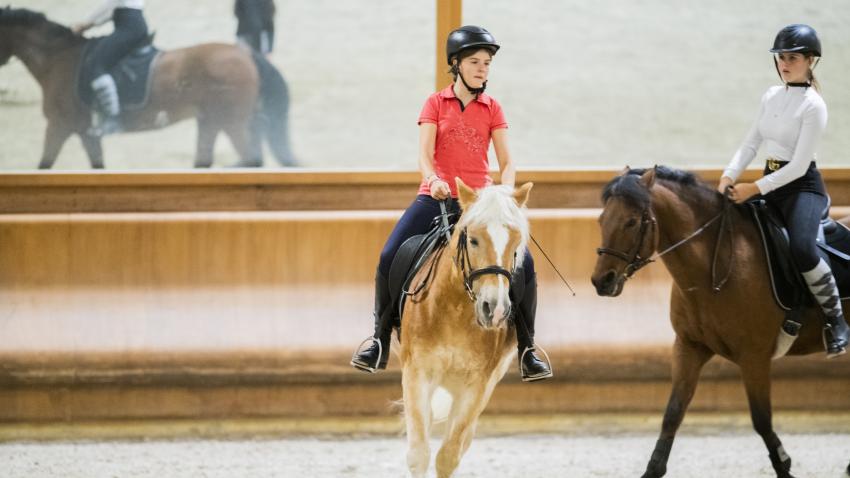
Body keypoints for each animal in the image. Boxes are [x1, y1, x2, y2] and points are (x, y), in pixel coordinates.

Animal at [0, 6, 296, 169]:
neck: (57, 59)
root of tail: (246, 54)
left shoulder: (59, 126)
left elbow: (44, 165)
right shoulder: (86, 134)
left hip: (230, 121)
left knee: (251, 159)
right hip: (211, 120)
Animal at [400, 178, 528, 478]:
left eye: (516, 244)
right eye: (473, 240)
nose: (495, 309)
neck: (455, 310)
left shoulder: (477, 384)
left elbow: (448, 455)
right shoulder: (417, 373)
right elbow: (419, 453)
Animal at [588, 165, 848, 478]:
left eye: (631, 221)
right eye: (602, 219)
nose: (602, 281)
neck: (716, 267)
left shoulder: (754, 357)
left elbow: (762, 420)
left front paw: (784, 465)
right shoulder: (689, 347)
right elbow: (672, 413)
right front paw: (652, 469)